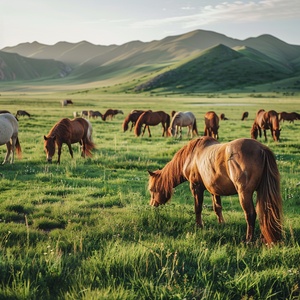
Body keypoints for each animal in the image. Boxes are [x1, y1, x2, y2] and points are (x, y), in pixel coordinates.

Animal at [148, 137, 284, 245]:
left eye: (152, 189)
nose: (152, 205)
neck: (191, 156)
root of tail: (262, 149)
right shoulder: (214, 190)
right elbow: (217, 208)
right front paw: (221, 224)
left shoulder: (196, 187)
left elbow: (198, 208)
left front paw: (199, 225)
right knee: (265, 214)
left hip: (244, 194)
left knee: (250, 215)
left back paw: (248, 240)